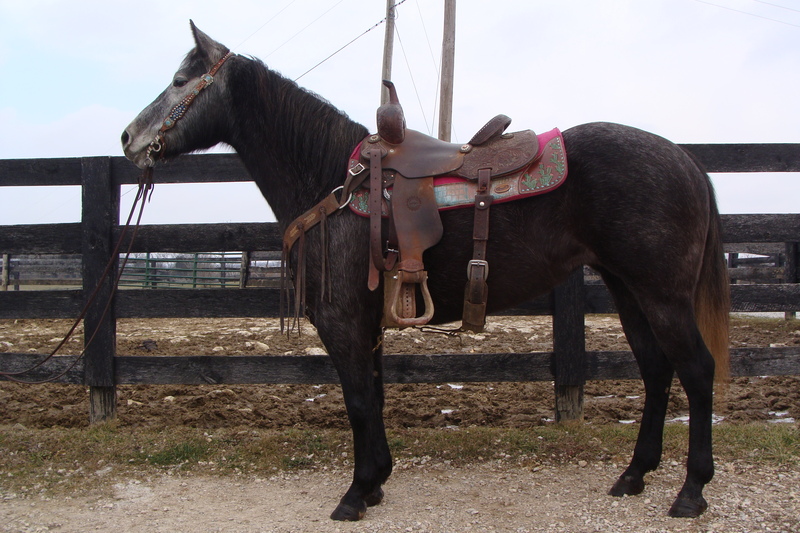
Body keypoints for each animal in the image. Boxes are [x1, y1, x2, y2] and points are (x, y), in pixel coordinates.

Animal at [122, 22, 730, 522]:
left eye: (179, 80)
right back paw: (634, 475)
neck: (336, 184)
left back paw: (691, 491)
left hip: (662, 295)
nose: (128, 138)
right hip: (629, 290)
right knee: (657, 371)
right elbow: (373, 396)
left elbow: (357, 401)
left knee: (696, 371)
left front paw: (355, 493)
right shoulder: (365, 324)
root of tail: (685, 160)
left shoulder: (342, 322)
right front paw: (375, 484)